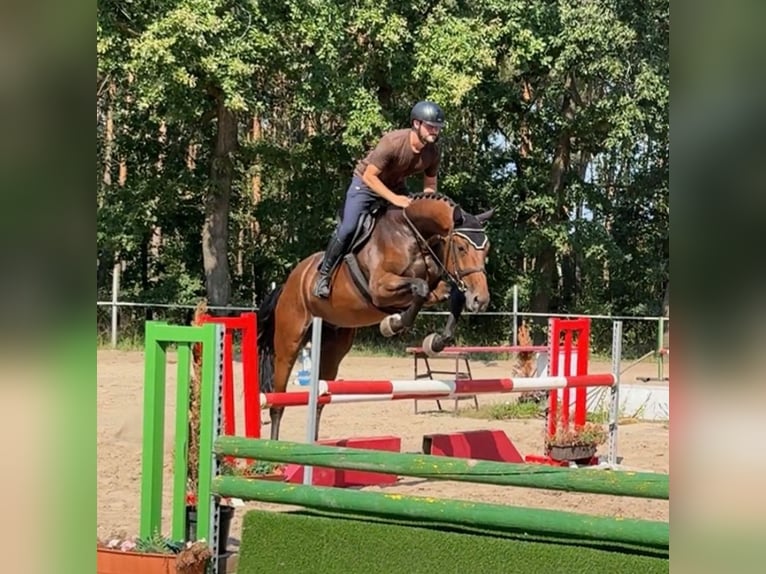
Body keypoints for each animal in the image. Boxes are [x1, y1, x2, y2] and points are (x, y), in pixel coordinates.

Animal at [255, 194, 496, 440]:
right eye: (461, 247)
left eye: (486, 249)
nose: (480, 300)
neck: (412, 236)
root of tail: (288, 283)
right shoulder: (380, 288)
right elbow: (420, 288)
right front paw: (393, 324)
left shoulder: (437, 285)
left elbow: (449, 295)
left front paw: (435, 341)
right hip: (289, 342)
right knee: (278, 401)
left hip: (334, 348)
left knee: (321, 399)